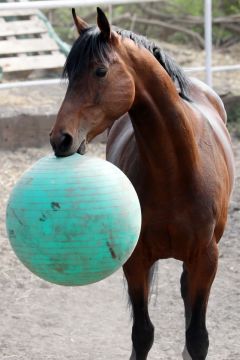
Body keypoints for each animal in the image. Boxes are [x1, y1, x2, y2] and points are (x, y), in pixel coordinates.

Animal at [49, 8, 234, 360]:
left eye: (100, 71)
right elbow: (142, 334)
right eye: (68, 76)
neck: (175, 172)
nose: (60, 139)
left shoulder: (206, 258)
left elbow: (197, 338)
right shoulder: (136, 260)